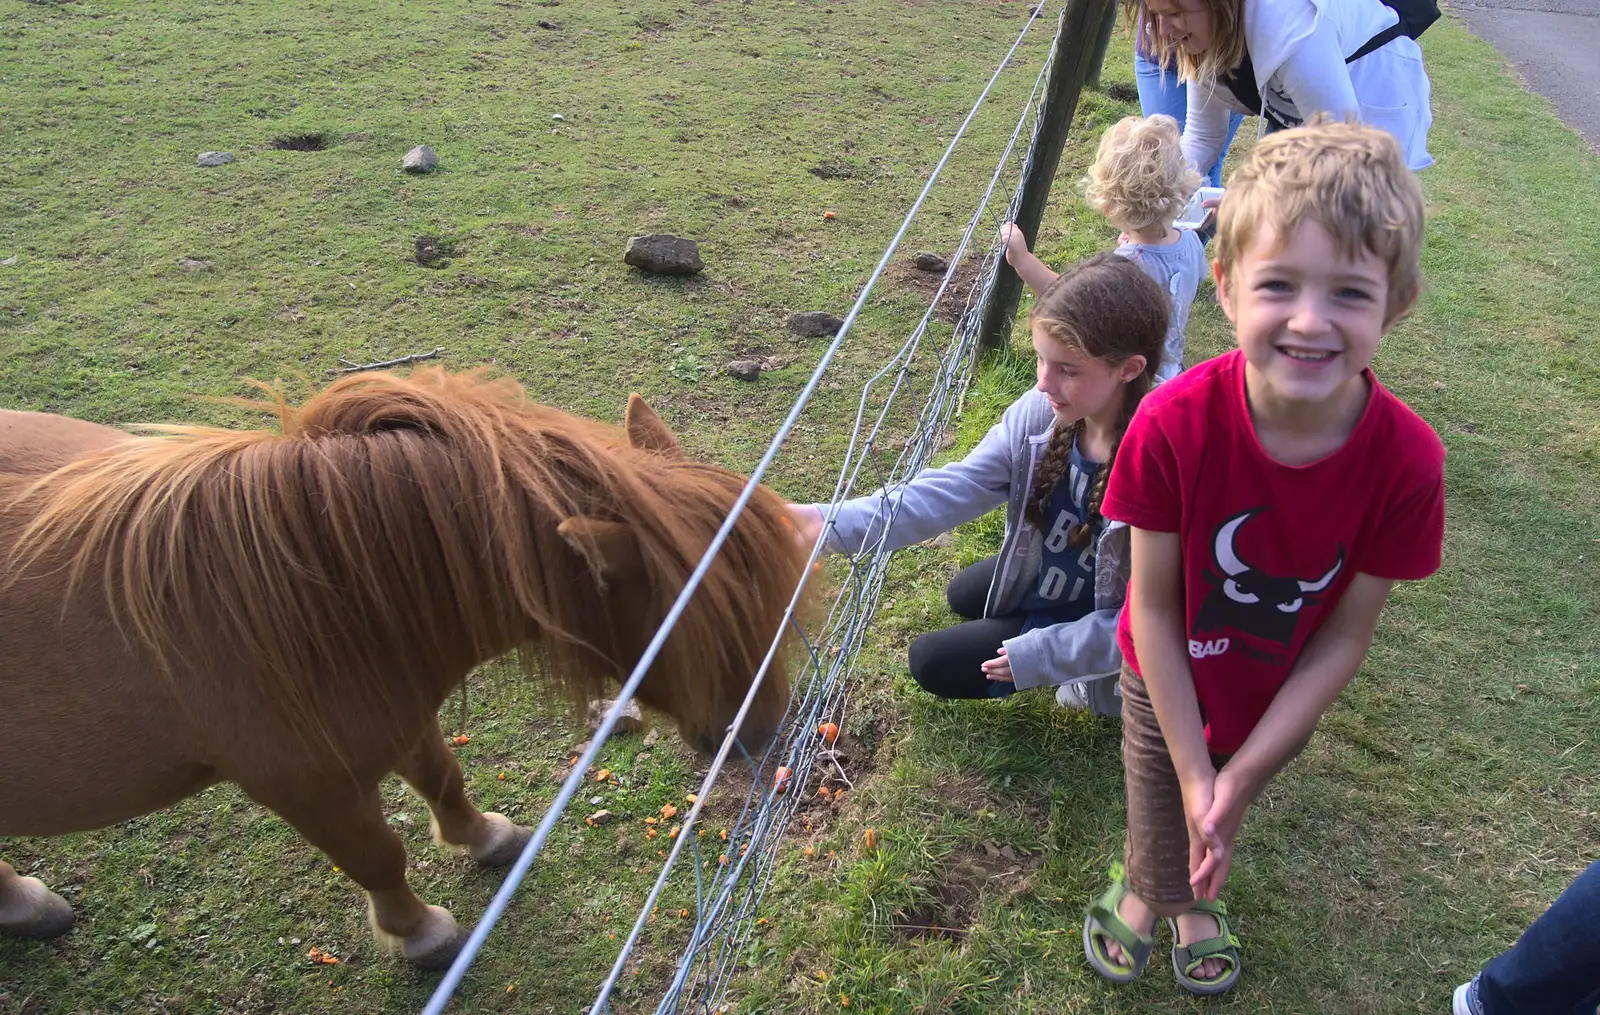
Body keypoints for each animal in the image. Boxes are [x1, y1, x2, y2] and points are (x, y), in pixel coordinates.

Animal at [0, 369, 806, 966]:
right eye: (711, 635)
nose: (765, 733)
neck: (321, 591)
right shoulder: (308, 785)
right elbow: (377, 854)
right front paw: (420, 932)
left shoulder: (402, 710)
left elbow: (441, 774)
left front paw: (485, 838)